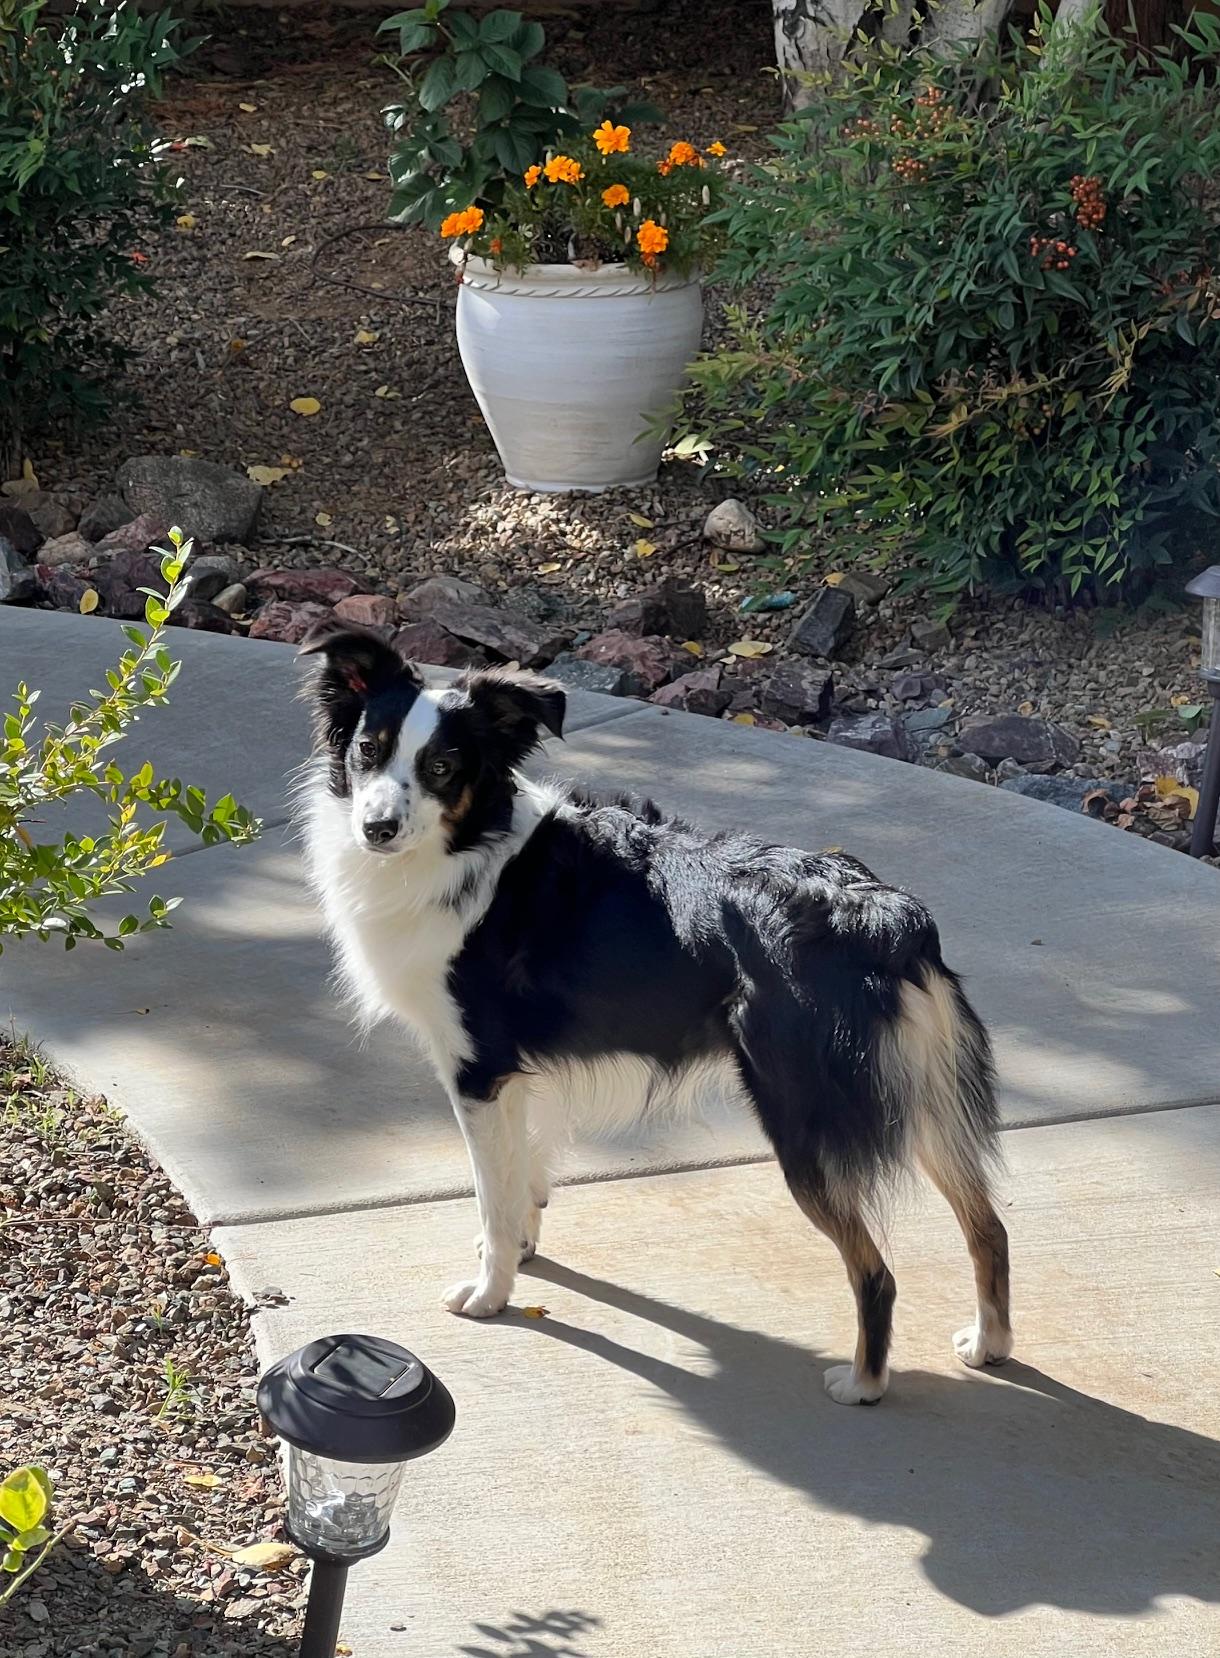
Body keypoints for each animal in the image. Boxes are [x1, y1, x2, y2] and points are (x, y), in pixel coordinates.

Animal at [298, 623, 1013, 1405]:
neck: (469, 845)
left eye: (443, 766)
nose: (377, 828)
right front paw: (522, 1248)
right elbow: (522, 1175)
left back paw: (863, 1382)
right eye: (369, 749)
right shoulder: (515, 1073)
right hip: (924, 1097)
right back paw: (990, 1346)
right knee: (989, 1227)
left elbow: (492, 1194)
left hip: (803, 1121)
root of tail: (883, 915)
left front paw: (491, 1293)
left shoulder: (477, 1070)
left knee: (876, 1271)